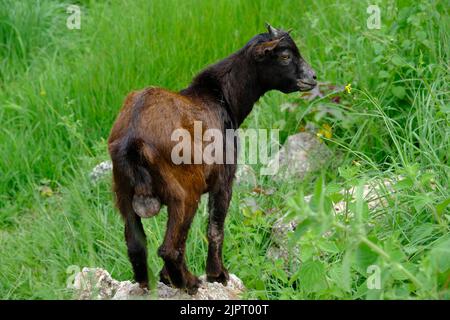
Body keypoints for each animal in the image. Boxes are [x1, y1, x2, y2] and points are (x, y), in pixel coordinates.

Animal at [107, 23, 316, 296]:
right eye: (284, 56)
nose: (312, 77)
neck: (221, 97)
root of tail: (133, 139)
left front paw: (166, 278)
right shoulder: (224, 178)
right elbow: (215, 229)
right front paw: (218, 275)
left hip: (122, 192)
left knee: (136, 244)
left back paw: (149, 283)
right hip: (185, 191)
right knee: (170, 247)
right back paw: (190, 282)